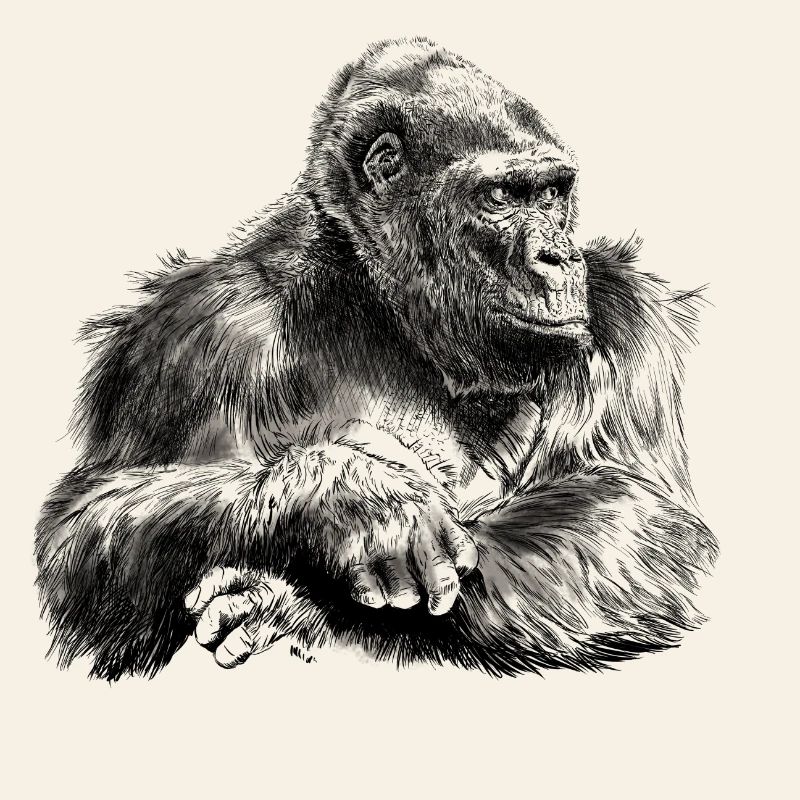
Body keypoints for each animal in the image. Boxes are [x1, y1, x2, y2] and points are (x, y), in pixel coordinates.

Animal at [35, 37, 718, 680]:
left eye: (552, 194)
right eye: (502, 196)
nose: (559, 257)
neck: (380, 301)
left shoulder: (626, 317)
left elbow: (640, 520)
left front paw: (298, 603)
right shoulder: (196, 331)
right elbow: (84, 534)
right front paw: (351, 500)